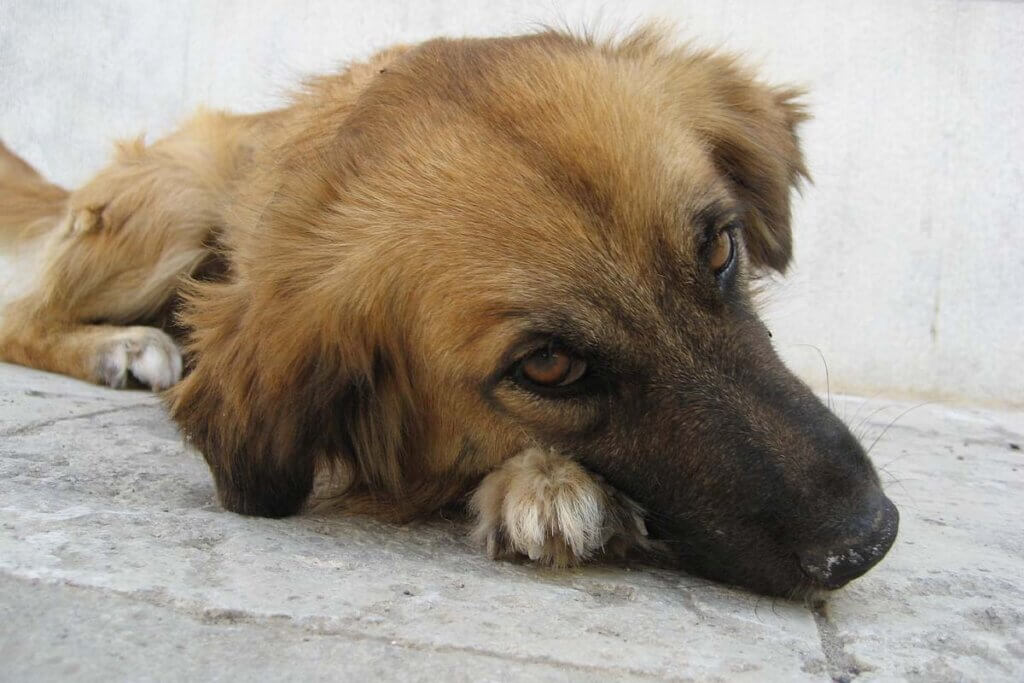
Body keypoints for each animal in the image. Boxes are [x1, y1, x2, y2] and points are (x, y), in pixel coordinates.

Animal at [0, 29, 897, 593]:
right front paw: (546, 483)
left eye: (719, 249)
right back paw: (122, 347)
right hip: (178, 204)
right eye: (548, 365)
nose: (867, 538)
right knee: (21, 317)